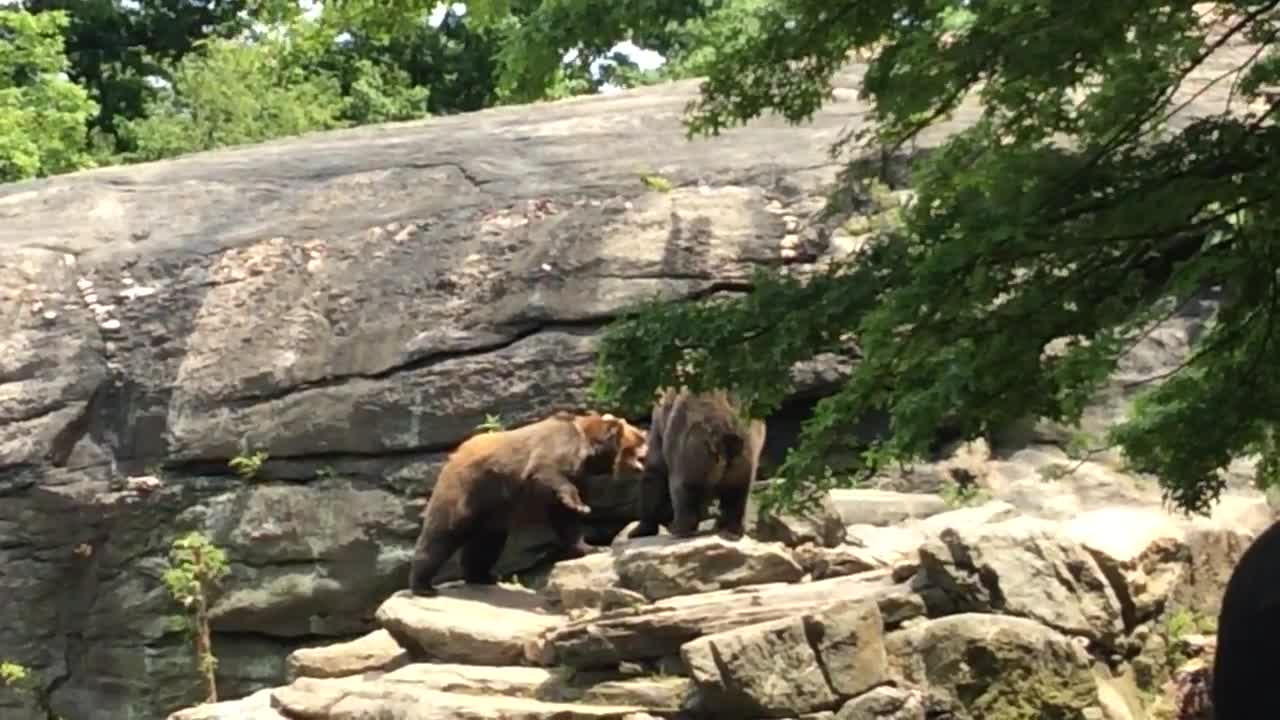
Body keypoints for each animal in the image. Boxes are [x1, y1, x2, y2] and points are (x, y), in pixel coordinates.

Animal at [412, 409, 650, 594]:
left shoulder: (579, 474)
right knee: (442, 533)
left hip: (492, 512)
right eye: (639, 438)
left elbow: (565, 520)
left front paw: (591, 546)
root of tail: (453, 455)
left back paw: (482, 576)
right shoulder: (559, 449)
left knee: (486, 543)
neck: (589, 450)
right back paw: (423, 585)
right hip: (466, 489)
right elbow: (546, 471)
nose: (647, 439)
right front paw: (581, 506)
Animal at [627, 386, 762, 538]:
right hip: (744, 450)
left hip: (691, 446)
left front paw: (639, 529)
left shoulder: (662, 428)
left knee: (683, 487)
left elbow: (654, 472)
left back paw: (679, 527)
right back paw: (732, 527)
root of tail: (723, 434)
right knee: (739, 490)